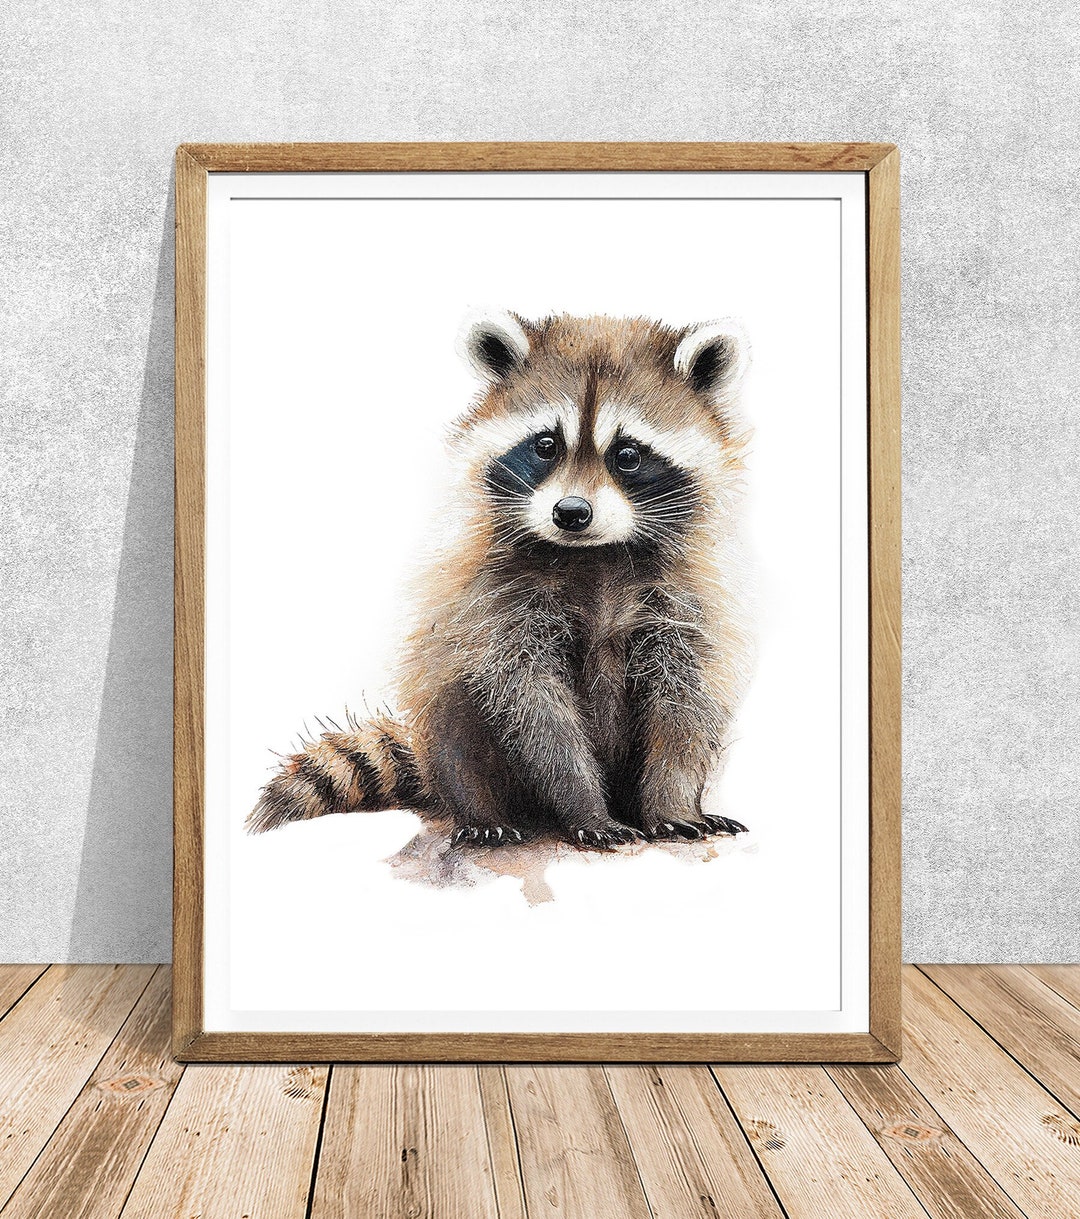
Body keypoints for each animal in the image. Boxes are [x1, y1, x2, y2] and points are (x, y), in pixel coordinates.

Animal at [247, 311, 754, 849]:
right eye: (546, 445)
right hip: (440, 712)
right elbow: (532, 706)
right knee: (457, 727)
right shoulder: (497, 599)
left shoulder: (688, 600)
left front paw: (672, 804)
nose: (571, 512)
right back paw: (480, 810)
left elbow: (685, 703)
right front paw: (585, 807)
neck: (594, 555)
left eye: (629, 455)